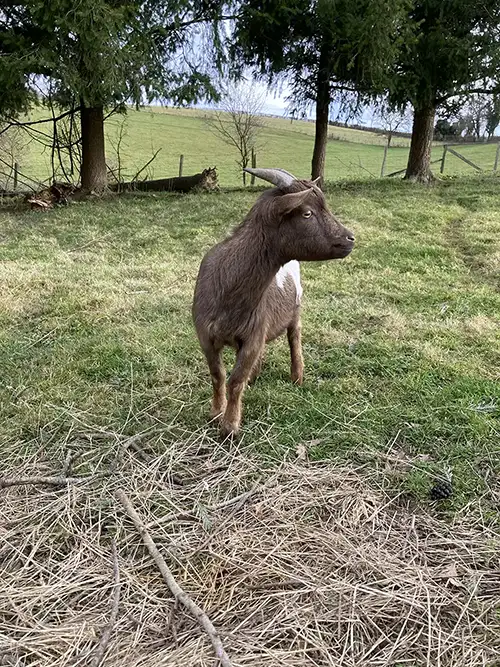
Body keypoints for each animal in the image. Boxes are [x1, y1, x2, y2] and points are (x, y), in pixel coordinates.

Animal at [192, 167, 355, 438]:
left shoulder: (254, 335)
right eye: (307, 212)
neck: (230, 288)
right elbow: (218, 375)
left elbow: (235, 380)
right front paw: (215, 413)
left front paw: (230, 426)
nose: (350, 238)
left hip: (296, 310)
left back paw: (297, 376)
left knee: (294, 340)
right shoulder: (206, 335)